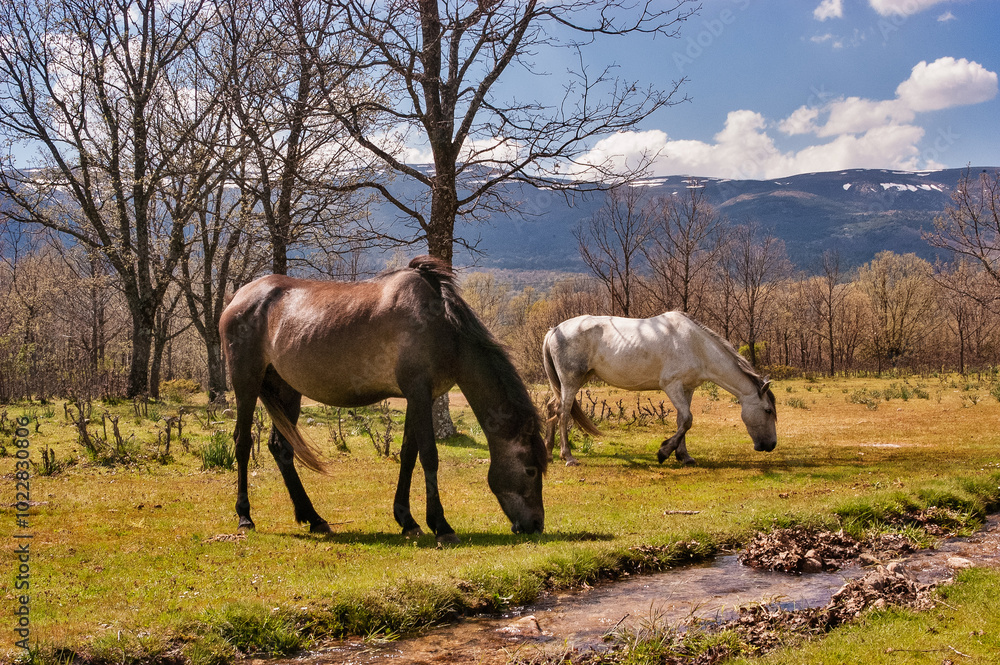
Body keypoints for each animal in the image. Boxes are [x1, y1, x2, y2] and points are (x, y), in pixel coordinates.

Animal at [221, 256, 548, 544]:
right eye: (531, 470)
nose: (536, 525)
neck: (439, 323)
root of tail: (238, 298)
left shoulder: (421, 398)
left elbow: (408, 455)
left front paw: (407, 520)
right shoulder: (419, 392)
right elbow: (429, 456)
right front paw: (441, 525)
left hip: (287, 390)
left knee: (282, 448)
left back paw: (314, 518)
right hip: (246, 382)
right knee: (243, 442)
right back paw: (245, 517)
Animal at [544, 312, 776, 464]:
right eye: (767, 411)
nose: (771, 445)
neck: (695, 345)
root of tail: (554, 330)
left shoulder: (687, 388)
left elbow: (682, 421)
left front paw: (684, 456)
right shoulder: (672, 386)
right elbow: (687, 420)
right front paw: (663, 452)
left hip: (573, 381)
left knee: (551, 407)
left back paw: (548, 451)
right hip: (571, 381)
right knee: (563, 412)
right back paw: (568, 456)